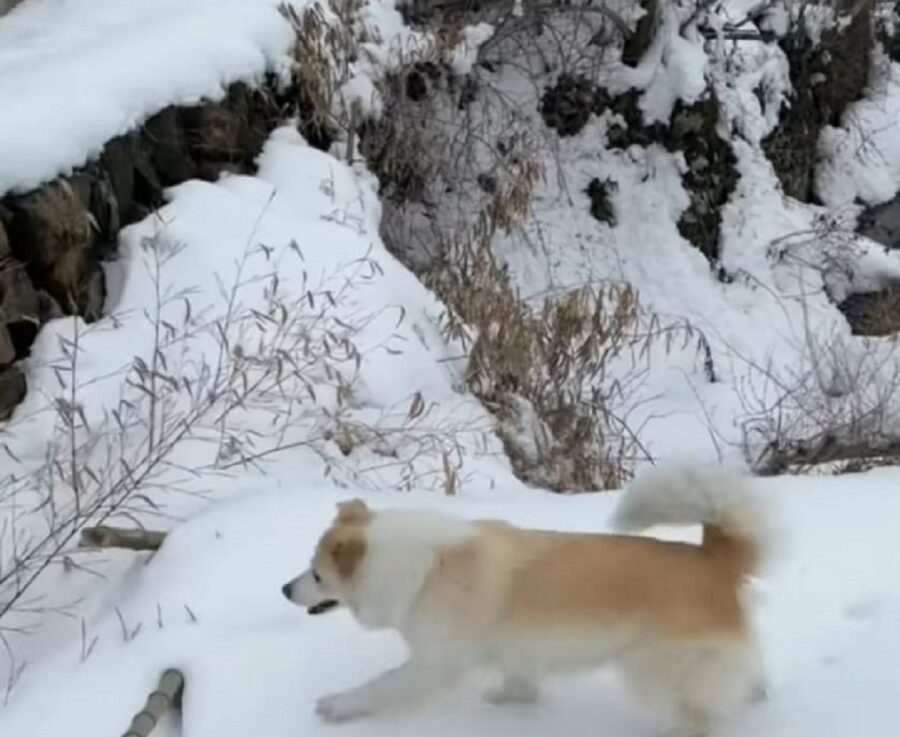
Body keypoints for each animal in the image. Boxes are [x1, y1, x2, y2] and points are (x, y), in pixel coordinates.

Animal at [284, 468, 772, 732]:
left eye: (317, 574)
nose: (285, 589)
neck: (422, 568)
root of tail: (714, 559)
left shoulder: (434, 663)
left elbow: (380, 686)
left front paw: (339, 706)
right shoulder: (517, 649)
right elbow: (520, 681)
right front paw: (508, 700)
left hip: (650, 669)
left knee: (697, 716)